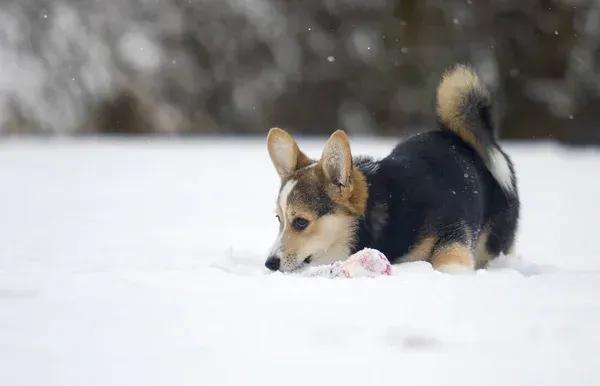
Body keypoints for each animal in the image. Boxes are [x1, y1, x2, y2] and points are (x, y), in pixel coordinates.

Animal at [264, 65, 516, 272]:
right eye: (279, 219)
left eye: (300, 222)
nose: (270, 264)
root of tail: (459, 137)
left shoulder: (452, 232)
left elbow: (448, 258)